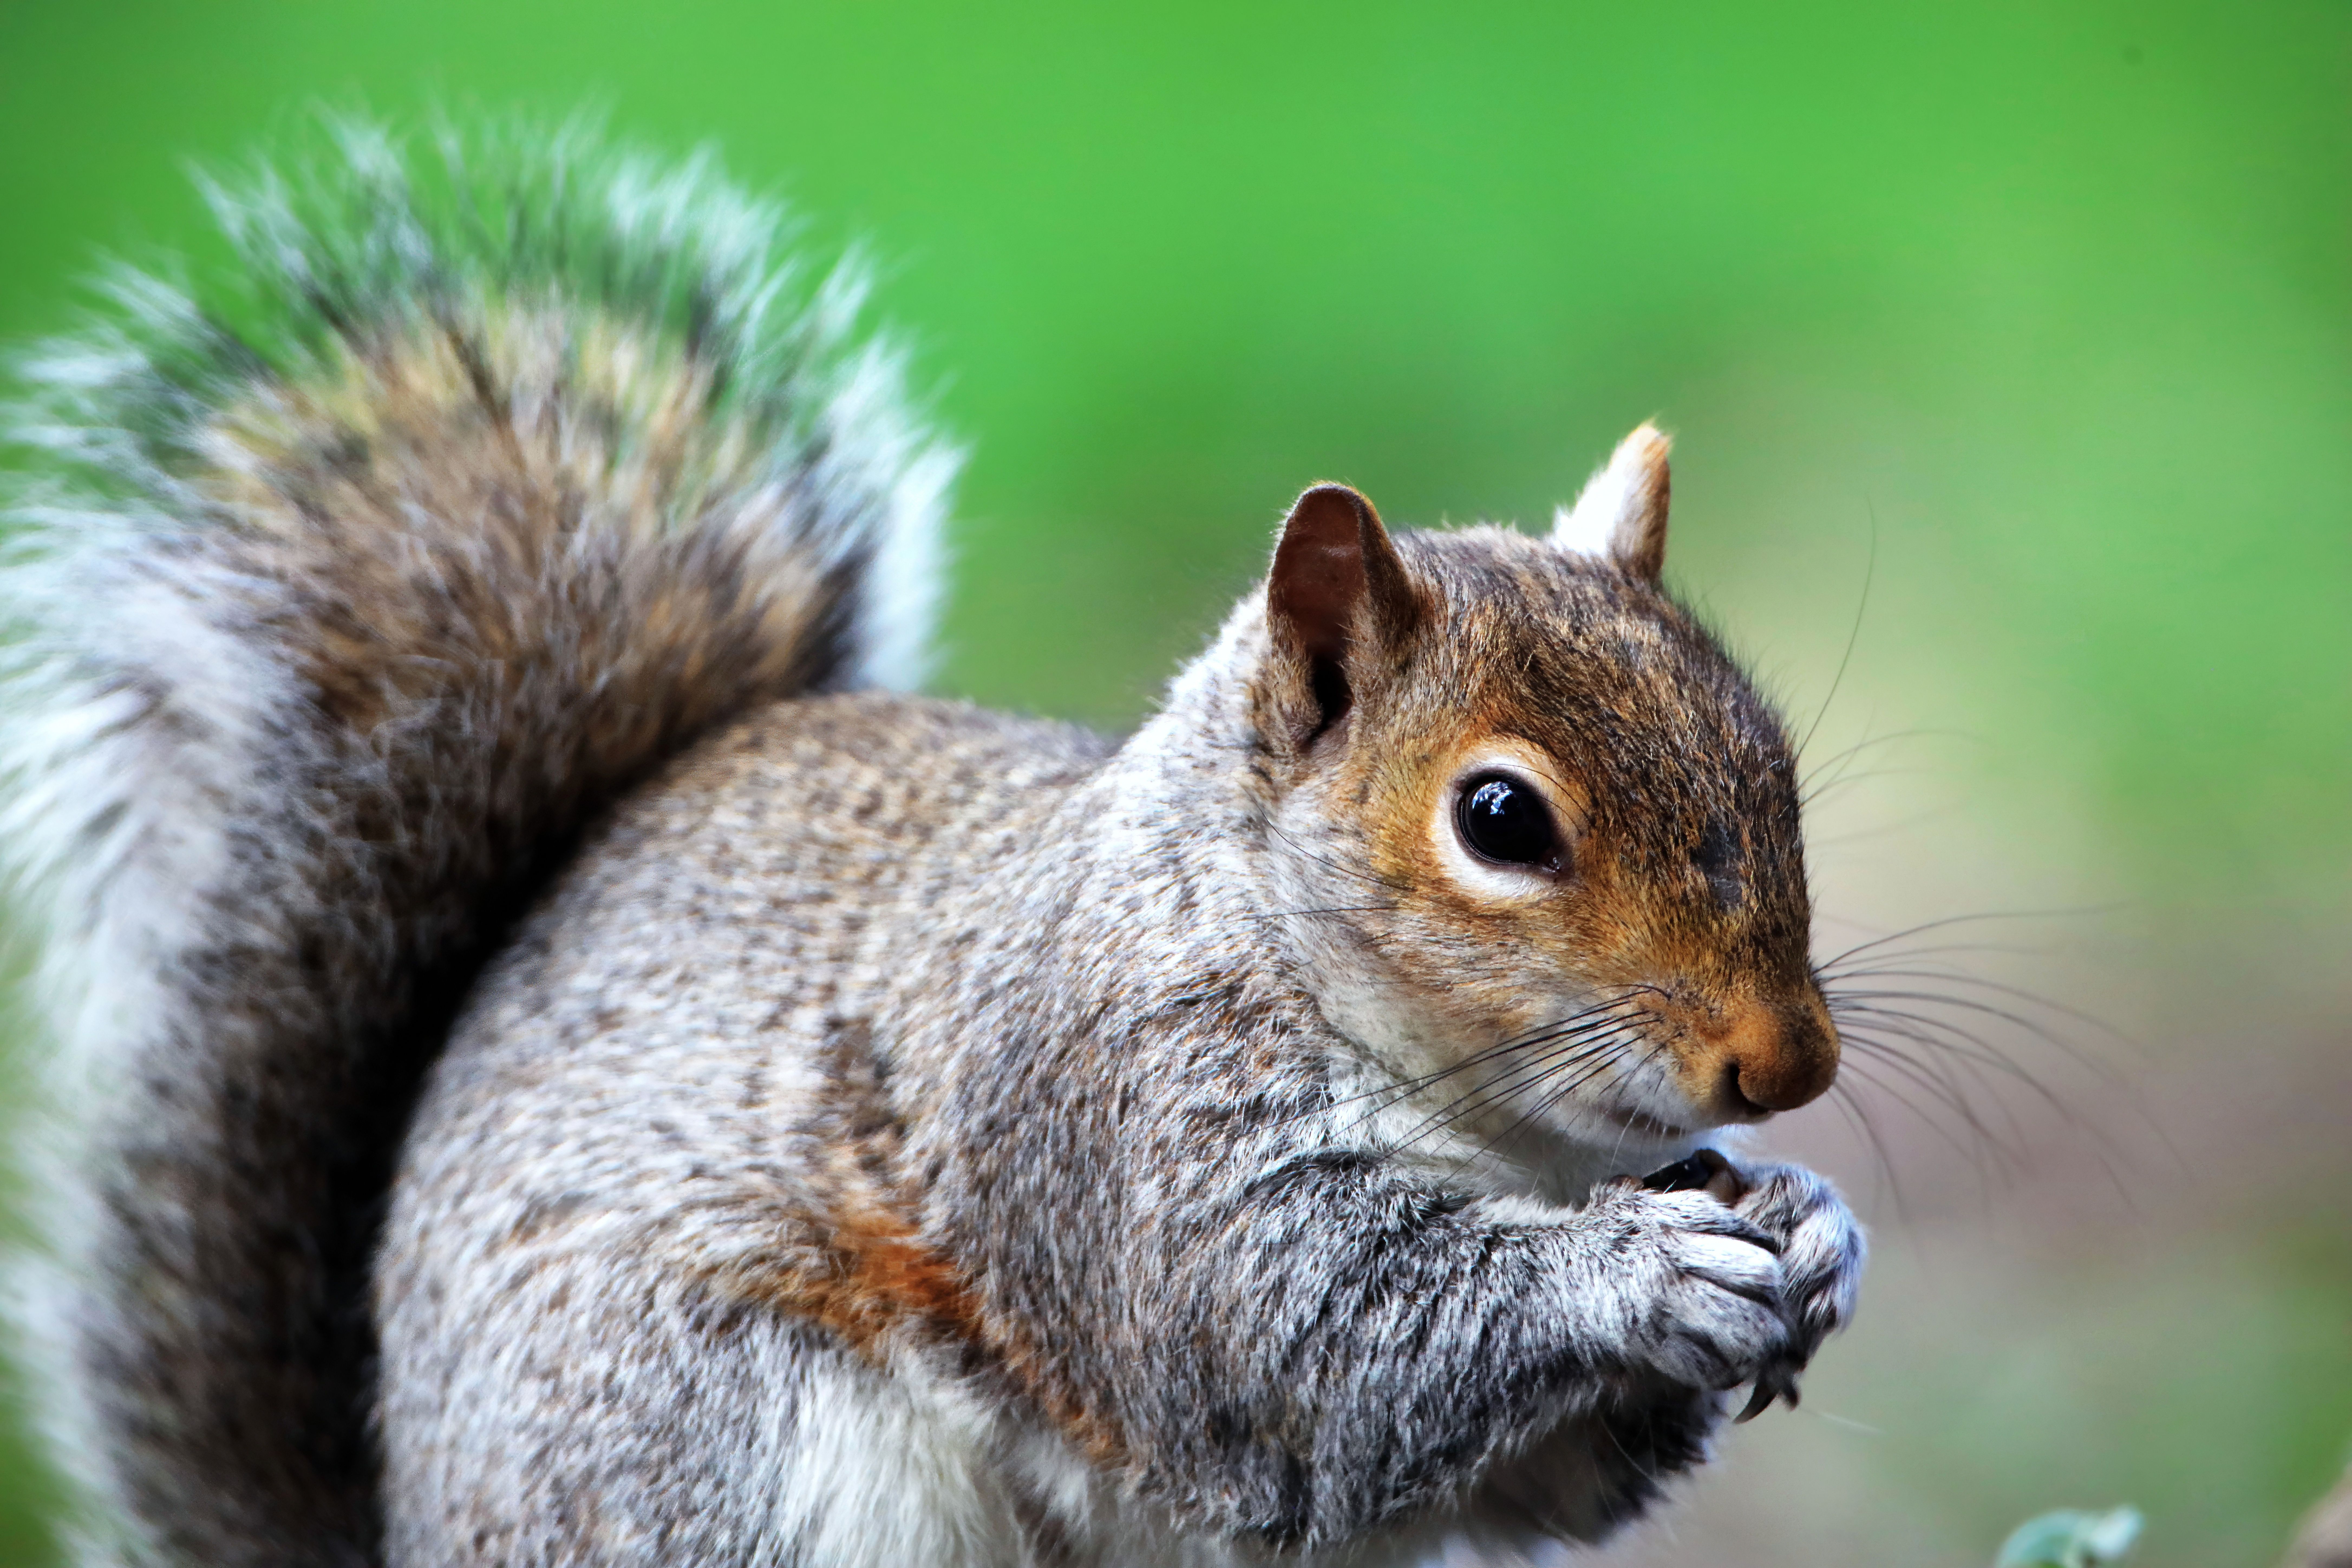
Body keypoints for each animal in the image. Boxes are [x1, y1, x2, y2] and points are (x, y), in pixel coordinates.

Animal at [0, 118, 1865, 1568]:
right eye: (1498, 818)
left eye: (1768, 754)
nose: (1788, 1066)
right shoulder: (1103, 1132)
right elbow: (1300, 1350)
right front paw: (1640, 1264)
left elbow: (1530, 1474)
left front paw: (1810, 1224)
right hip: (719, 1429)